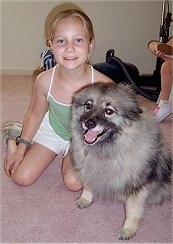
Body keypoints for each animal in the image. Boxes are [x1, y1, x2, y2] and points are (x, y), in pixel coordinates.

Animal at [70, 82, 172, 240]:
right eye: (88, 105)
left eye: (109, 111)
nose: (89, 123)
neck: (107, 149)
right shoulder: (89, 169)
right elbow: (88, 186)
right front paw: (85, 199)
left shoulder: (138, 187)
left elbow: (132, 211)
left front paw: (128, 230)